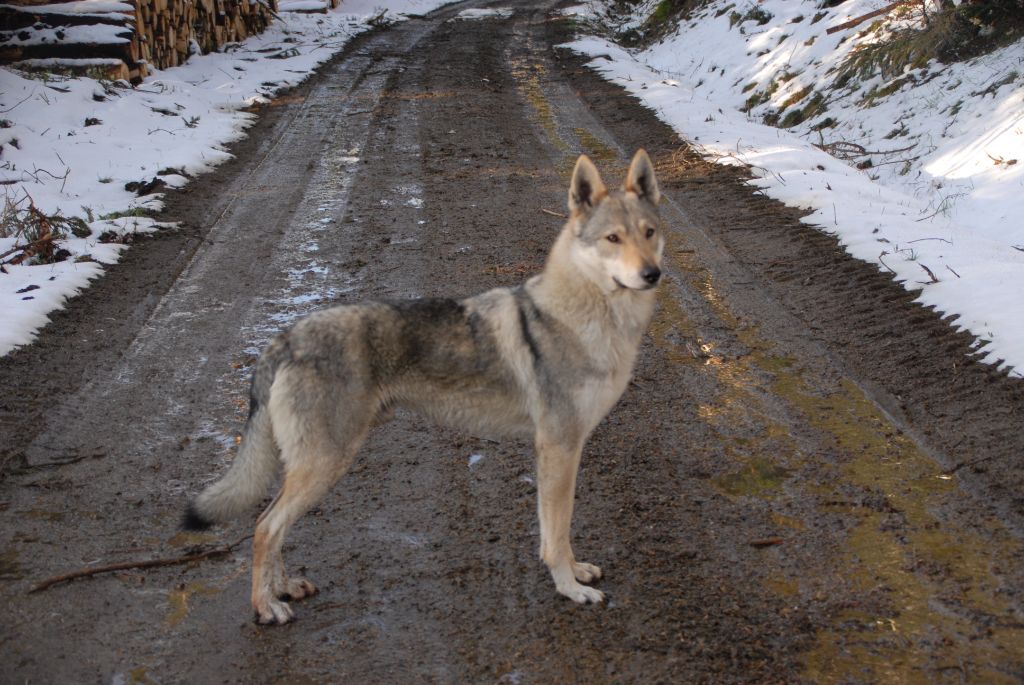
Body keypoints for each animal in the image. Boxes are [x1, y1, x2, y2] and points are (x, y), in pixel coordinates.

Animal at [184, 149, 663, 626]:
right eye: (613, 238)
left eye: (649, 233)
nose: (652, 274)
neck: (588, 315)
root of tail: (284, 338)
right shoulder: (558, 447)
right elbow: (556, 534)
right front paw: (571, 589)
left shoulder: (565, 448)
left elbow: (560, 529)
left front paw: (577, 572)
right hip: (325, 464)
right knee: (265, 527)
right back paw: (266, 606)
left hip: (314, 466)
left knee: (271, 524)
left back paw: (284, 587)